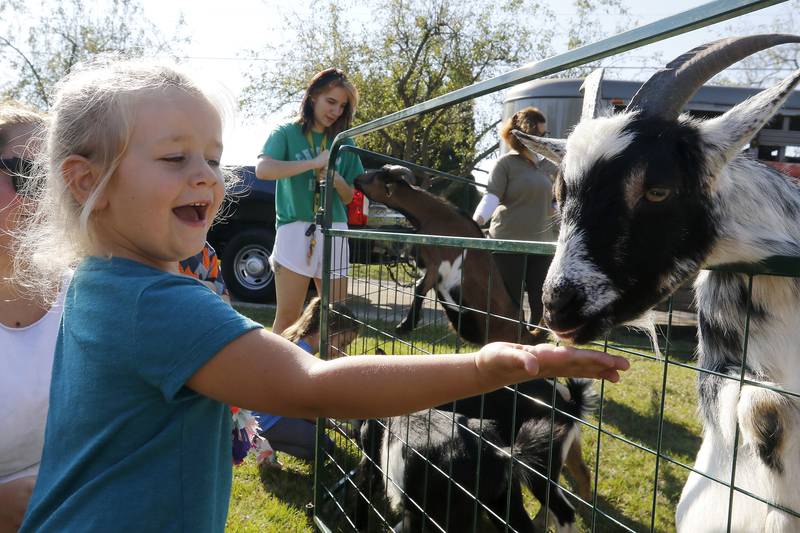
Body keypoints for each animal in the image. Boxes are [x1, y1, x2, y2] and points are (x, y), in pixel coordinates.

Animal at [356, 163, 552, 344]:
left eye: (378, 176)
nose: (357, 178)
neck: (435, 216)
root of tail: (525, 333)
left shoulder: (439, 264)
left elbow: (419, 287)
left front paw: (405, 325)